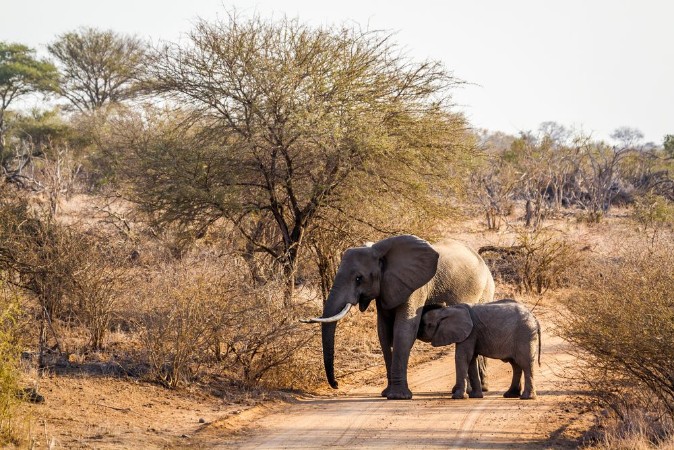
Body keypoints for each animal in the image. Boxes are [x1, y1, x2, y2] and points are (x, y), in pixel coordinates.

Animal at [302, 234, 495, 400]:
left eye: (358, 278)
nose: (336, 384)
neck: (380, 252)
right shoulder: (386, 288)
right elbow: (384, 333)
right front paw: (387, 393)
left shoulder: (416, 287)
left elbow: (403, 330)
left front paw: (398, 397)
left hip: (485, 291)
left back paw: (473, 390)